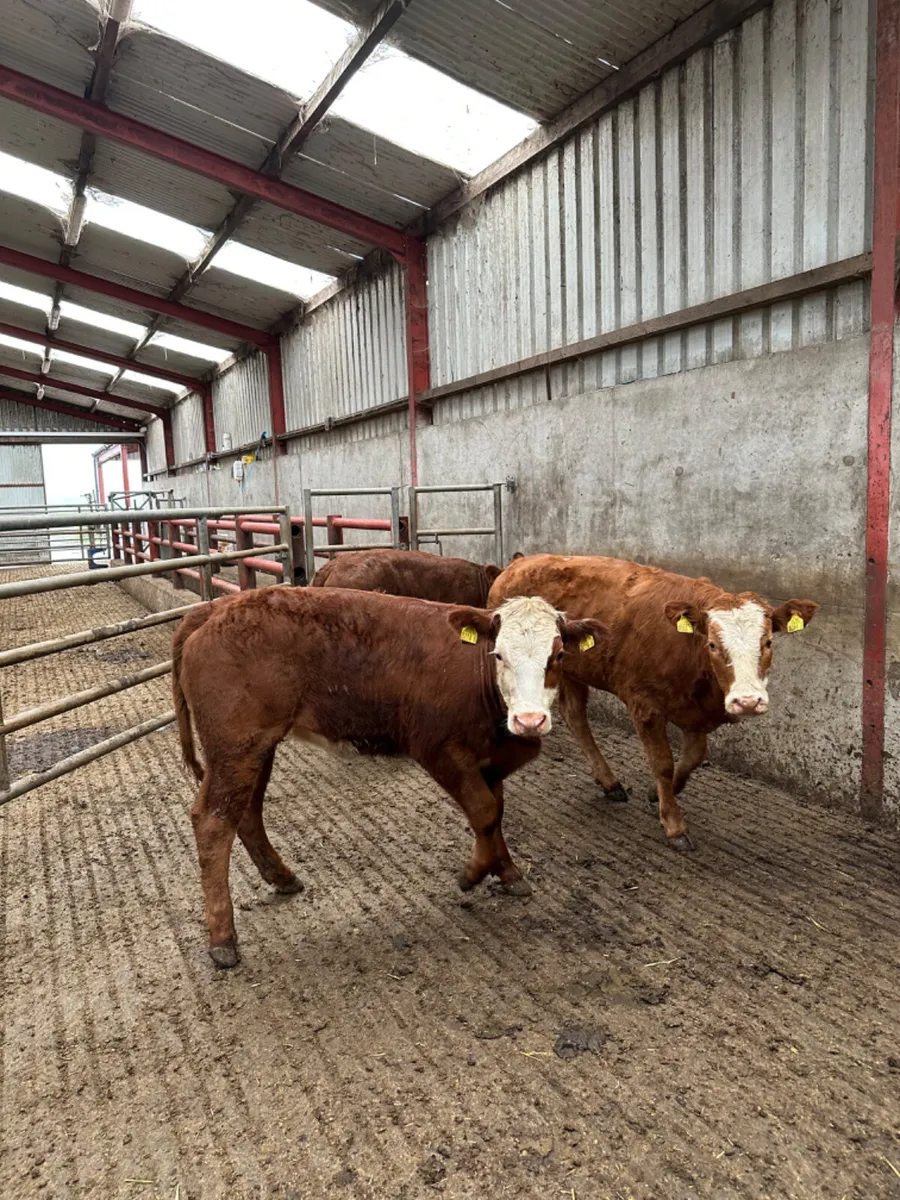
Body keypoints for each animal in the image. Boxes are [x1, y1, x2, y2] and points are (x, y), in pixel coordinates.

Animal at [172, 586, 605, 966]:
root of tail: (214, 607)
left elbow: (494, 814)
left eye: (558, 655)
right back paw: (223, 939)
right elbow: (483, 811)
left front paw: (508, 872)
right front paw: (473, 874)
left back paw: (282, 877)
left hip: (255, 747)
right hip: (236, 745)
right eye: (498, 655)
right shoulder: (437, 748)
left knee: (246, 811)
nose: (529, 720)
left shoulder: (491, 758)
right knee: (213, 821)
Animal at [489, 555, 817, 851]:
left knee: (575, 715)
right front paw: (674, 824)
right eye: (712, 644)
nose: (748, 701)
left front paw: (659, 793)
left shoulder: (694, 711)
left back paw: (609, 783)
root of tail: (519, 562)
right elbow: (662, 763)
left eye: (768, 642)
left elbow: (693, 757)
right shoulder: (644, 704)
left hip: (568, 669)